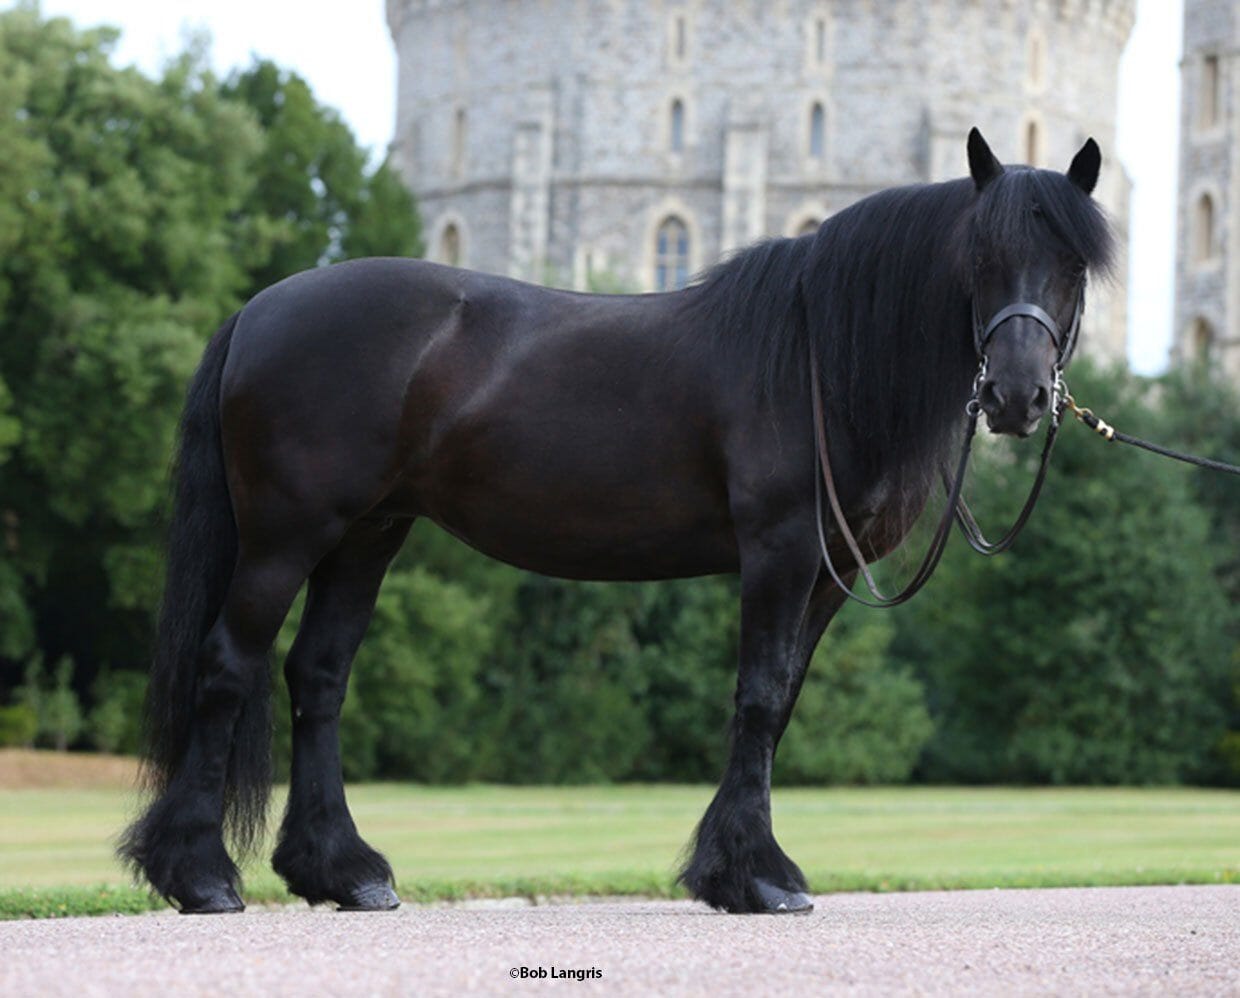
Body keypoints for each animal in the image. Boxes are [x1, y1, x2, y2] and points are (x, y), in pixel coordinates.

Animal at [120, 128, 1113, 915]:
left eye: (1073, 265)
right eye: (980, 256)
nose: (1018, 397)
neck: (819, 358)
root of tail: (260, 308)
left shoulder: (829, 578)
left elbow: (783, 702)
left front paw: (737, 866)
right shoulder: (781, 553)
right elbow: (758, 699)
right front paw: (754, 877)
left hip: (368, 536)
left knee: (318, 678)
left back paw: (343, 872)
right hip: (285, 537)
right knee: (228, 666)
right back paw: (201, 876)